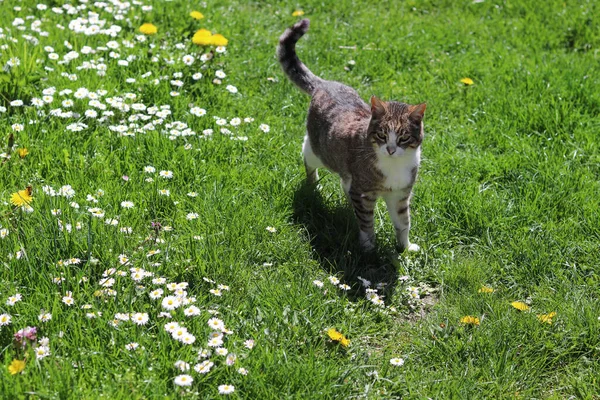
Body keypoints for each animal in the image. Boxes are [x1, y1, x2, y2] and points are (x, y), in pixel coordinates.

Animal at [278, 20, 426, 252]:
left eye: (403, 138)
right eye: (382, 135)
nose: (390, 149)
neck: (394, 166)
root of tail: (325, 84)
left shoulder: (400, 194)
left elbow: (403, 222)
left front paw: (405, 247)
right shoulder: (364, 193)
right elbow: (366, 221)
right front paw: (368, 247)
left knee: (345, 184)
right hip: (317, 151)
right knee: (307, 156)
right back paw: (314, 184)